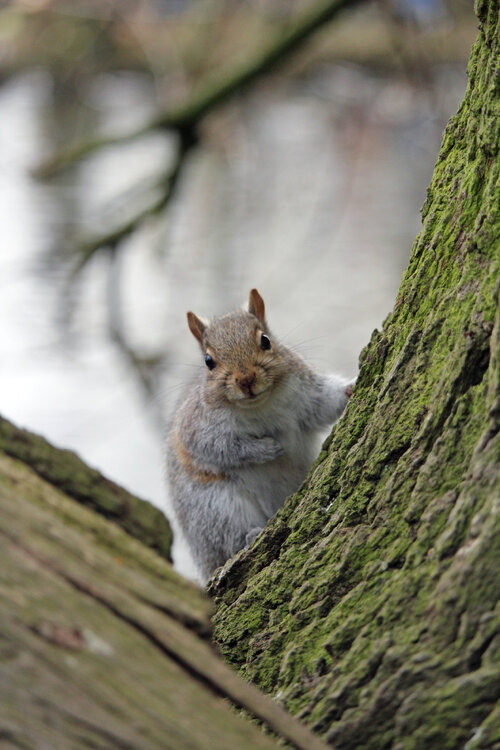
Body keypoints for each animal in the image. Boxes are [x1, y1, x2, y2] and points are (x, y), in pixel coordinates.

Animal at [166, 289, 355, 584]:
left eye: (265, 341)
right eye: (208, 362)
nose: (246, 379)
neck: (259, 405)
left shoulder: (306, 393)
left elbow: (324, 405)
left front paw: (351, 388)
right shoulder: (196, 427)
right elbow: (221, 448)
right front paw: (266, 449)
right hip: (215, 508)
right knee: (227, 542)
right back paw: (249, 536)